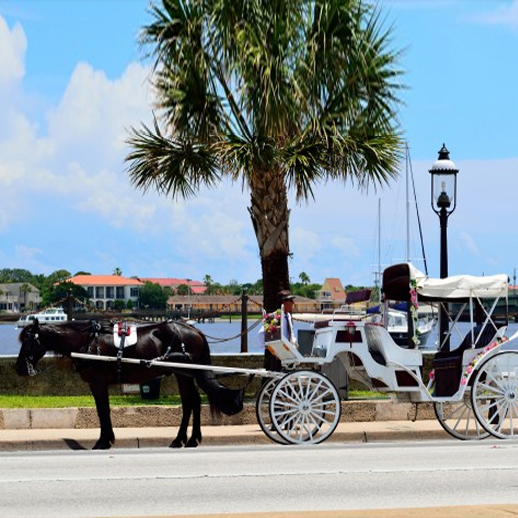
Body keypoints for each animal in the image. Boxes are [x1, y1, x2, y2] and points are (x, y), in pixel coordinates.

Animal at [14, 318, 246, 448]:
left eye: (28, 341)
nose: (18, 368)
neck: (88, 342)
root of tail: (194, 330)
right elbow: (103, 411)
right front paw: (107, 439)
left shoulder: (98, 383)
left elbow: (103, 411)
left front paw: (103, 441)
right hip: (185, 374)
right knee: (194, 402)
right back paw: (189, 439)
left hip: (185, 374)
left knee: (190, 403)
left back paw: (183, 439)